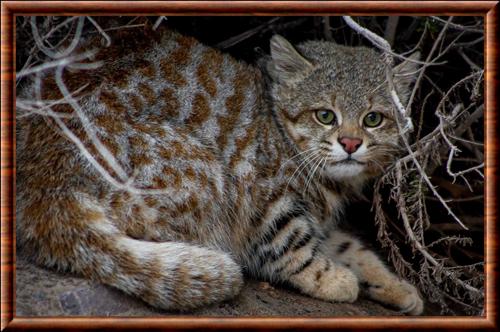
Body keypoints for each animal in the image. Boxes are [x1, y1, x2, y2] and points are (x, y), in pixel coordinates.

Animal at [14, 25, 422, 314]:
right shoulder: (263, 198)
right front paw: (332, 278)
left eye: (373, 119)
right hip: (206, 174)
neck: (277, 128)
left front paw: (394, 284)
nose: (351, 143)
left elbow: (353, 247)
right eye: (325, 115)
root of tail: (44, 182)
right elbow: (292, 246)